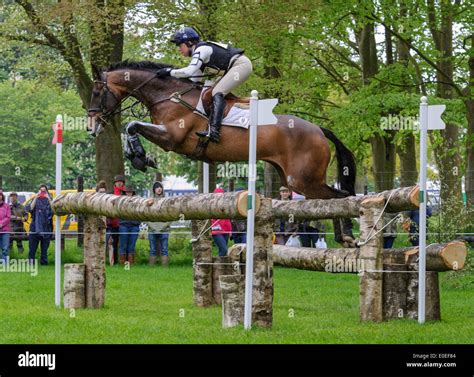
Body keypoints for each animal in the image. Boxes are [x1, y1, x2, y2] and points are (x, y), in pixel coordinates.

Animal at [88, 61, 356, 244]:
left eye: (97, 92)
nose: (92, 126)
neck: (168, 96)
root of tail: (319, 130)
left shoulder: (172, 138)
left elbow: (131, 126)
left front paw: (141, 157)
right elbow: (130, 128)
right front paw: (139, 157)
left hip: (303, 180)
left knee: (340, 197)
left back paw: (348, 237)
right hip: (293, 179)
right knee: (330, 201)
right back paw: (344, 238)